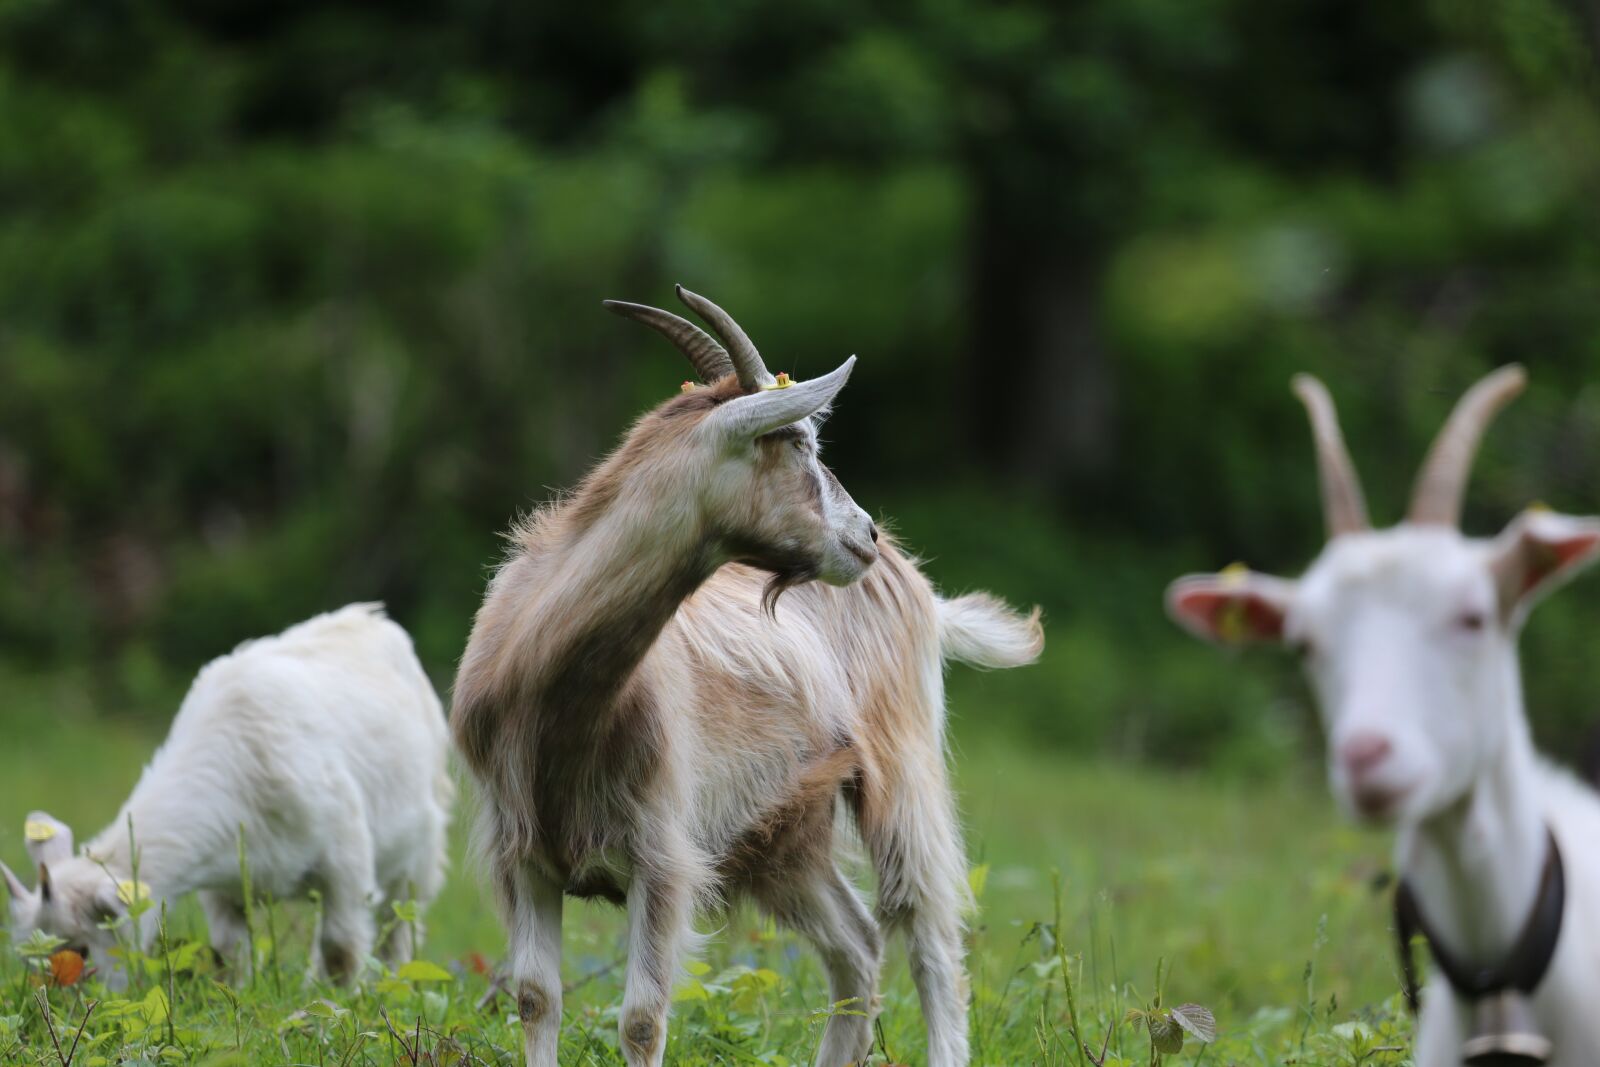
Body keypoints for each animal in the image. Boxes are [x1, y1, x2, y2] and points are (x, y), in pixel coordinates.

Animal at [2, 604, 453, 988]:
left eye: (80, 949)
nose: (56, 1014)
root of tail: (370, 617)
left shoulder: (345, 856)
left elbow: (339, 945)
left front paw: (344, 1000)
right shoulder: (224, 884)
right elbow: (229, 952)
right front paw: (237, 993)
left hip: (421, 846)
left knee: (401, 920)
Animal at [451, 286, 1043, 1067]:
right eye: (796, 443)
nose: (864, 535)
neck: (559, 697)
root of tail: (921, 589)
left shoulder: (663, 853)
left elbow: (642, 1018)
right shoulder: (523, 852)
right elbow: (535, 997)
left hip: (902, 771)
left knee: (931, 934)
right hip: (786, 834)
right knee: (857, 943)